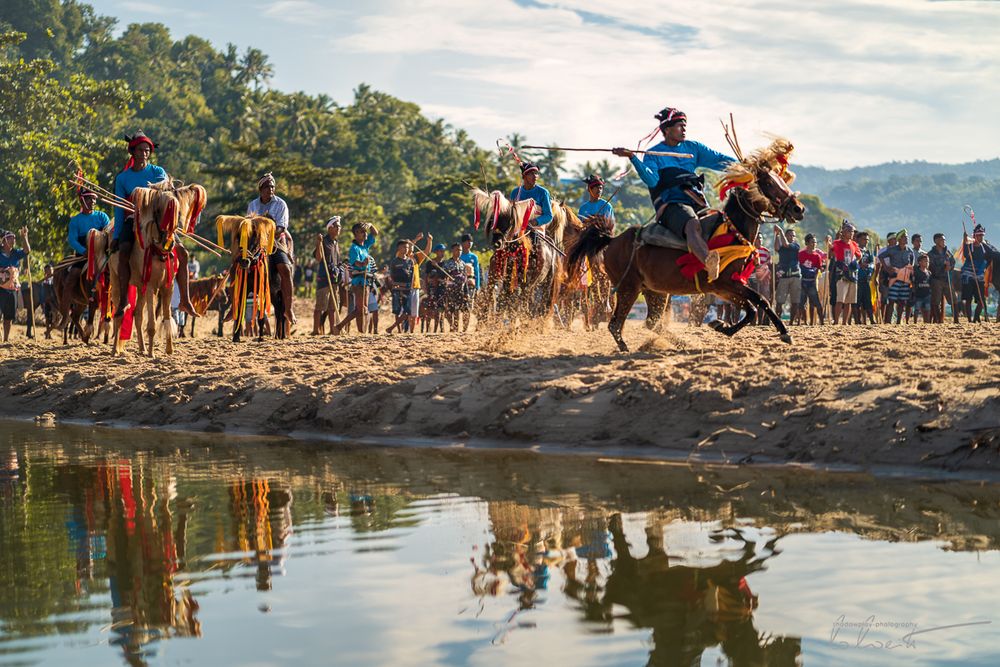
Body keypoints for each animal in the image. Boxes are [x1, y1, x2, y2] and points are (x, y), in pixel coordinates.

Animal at [572, 138, 804, 352]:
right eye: (769, 183)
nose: (798, 208)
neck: (732, 230)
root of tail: (613, 240)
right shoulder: (724, 283)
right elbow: (757, 303)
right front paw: (726, 327)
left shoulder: (727, 286)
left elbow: (756, 305)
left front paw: (724, 326)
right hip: (628, 287)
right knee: (615, 324)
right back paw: (627, 349)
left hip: (655, 290)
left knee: (651, 323)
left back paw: (679, 343)